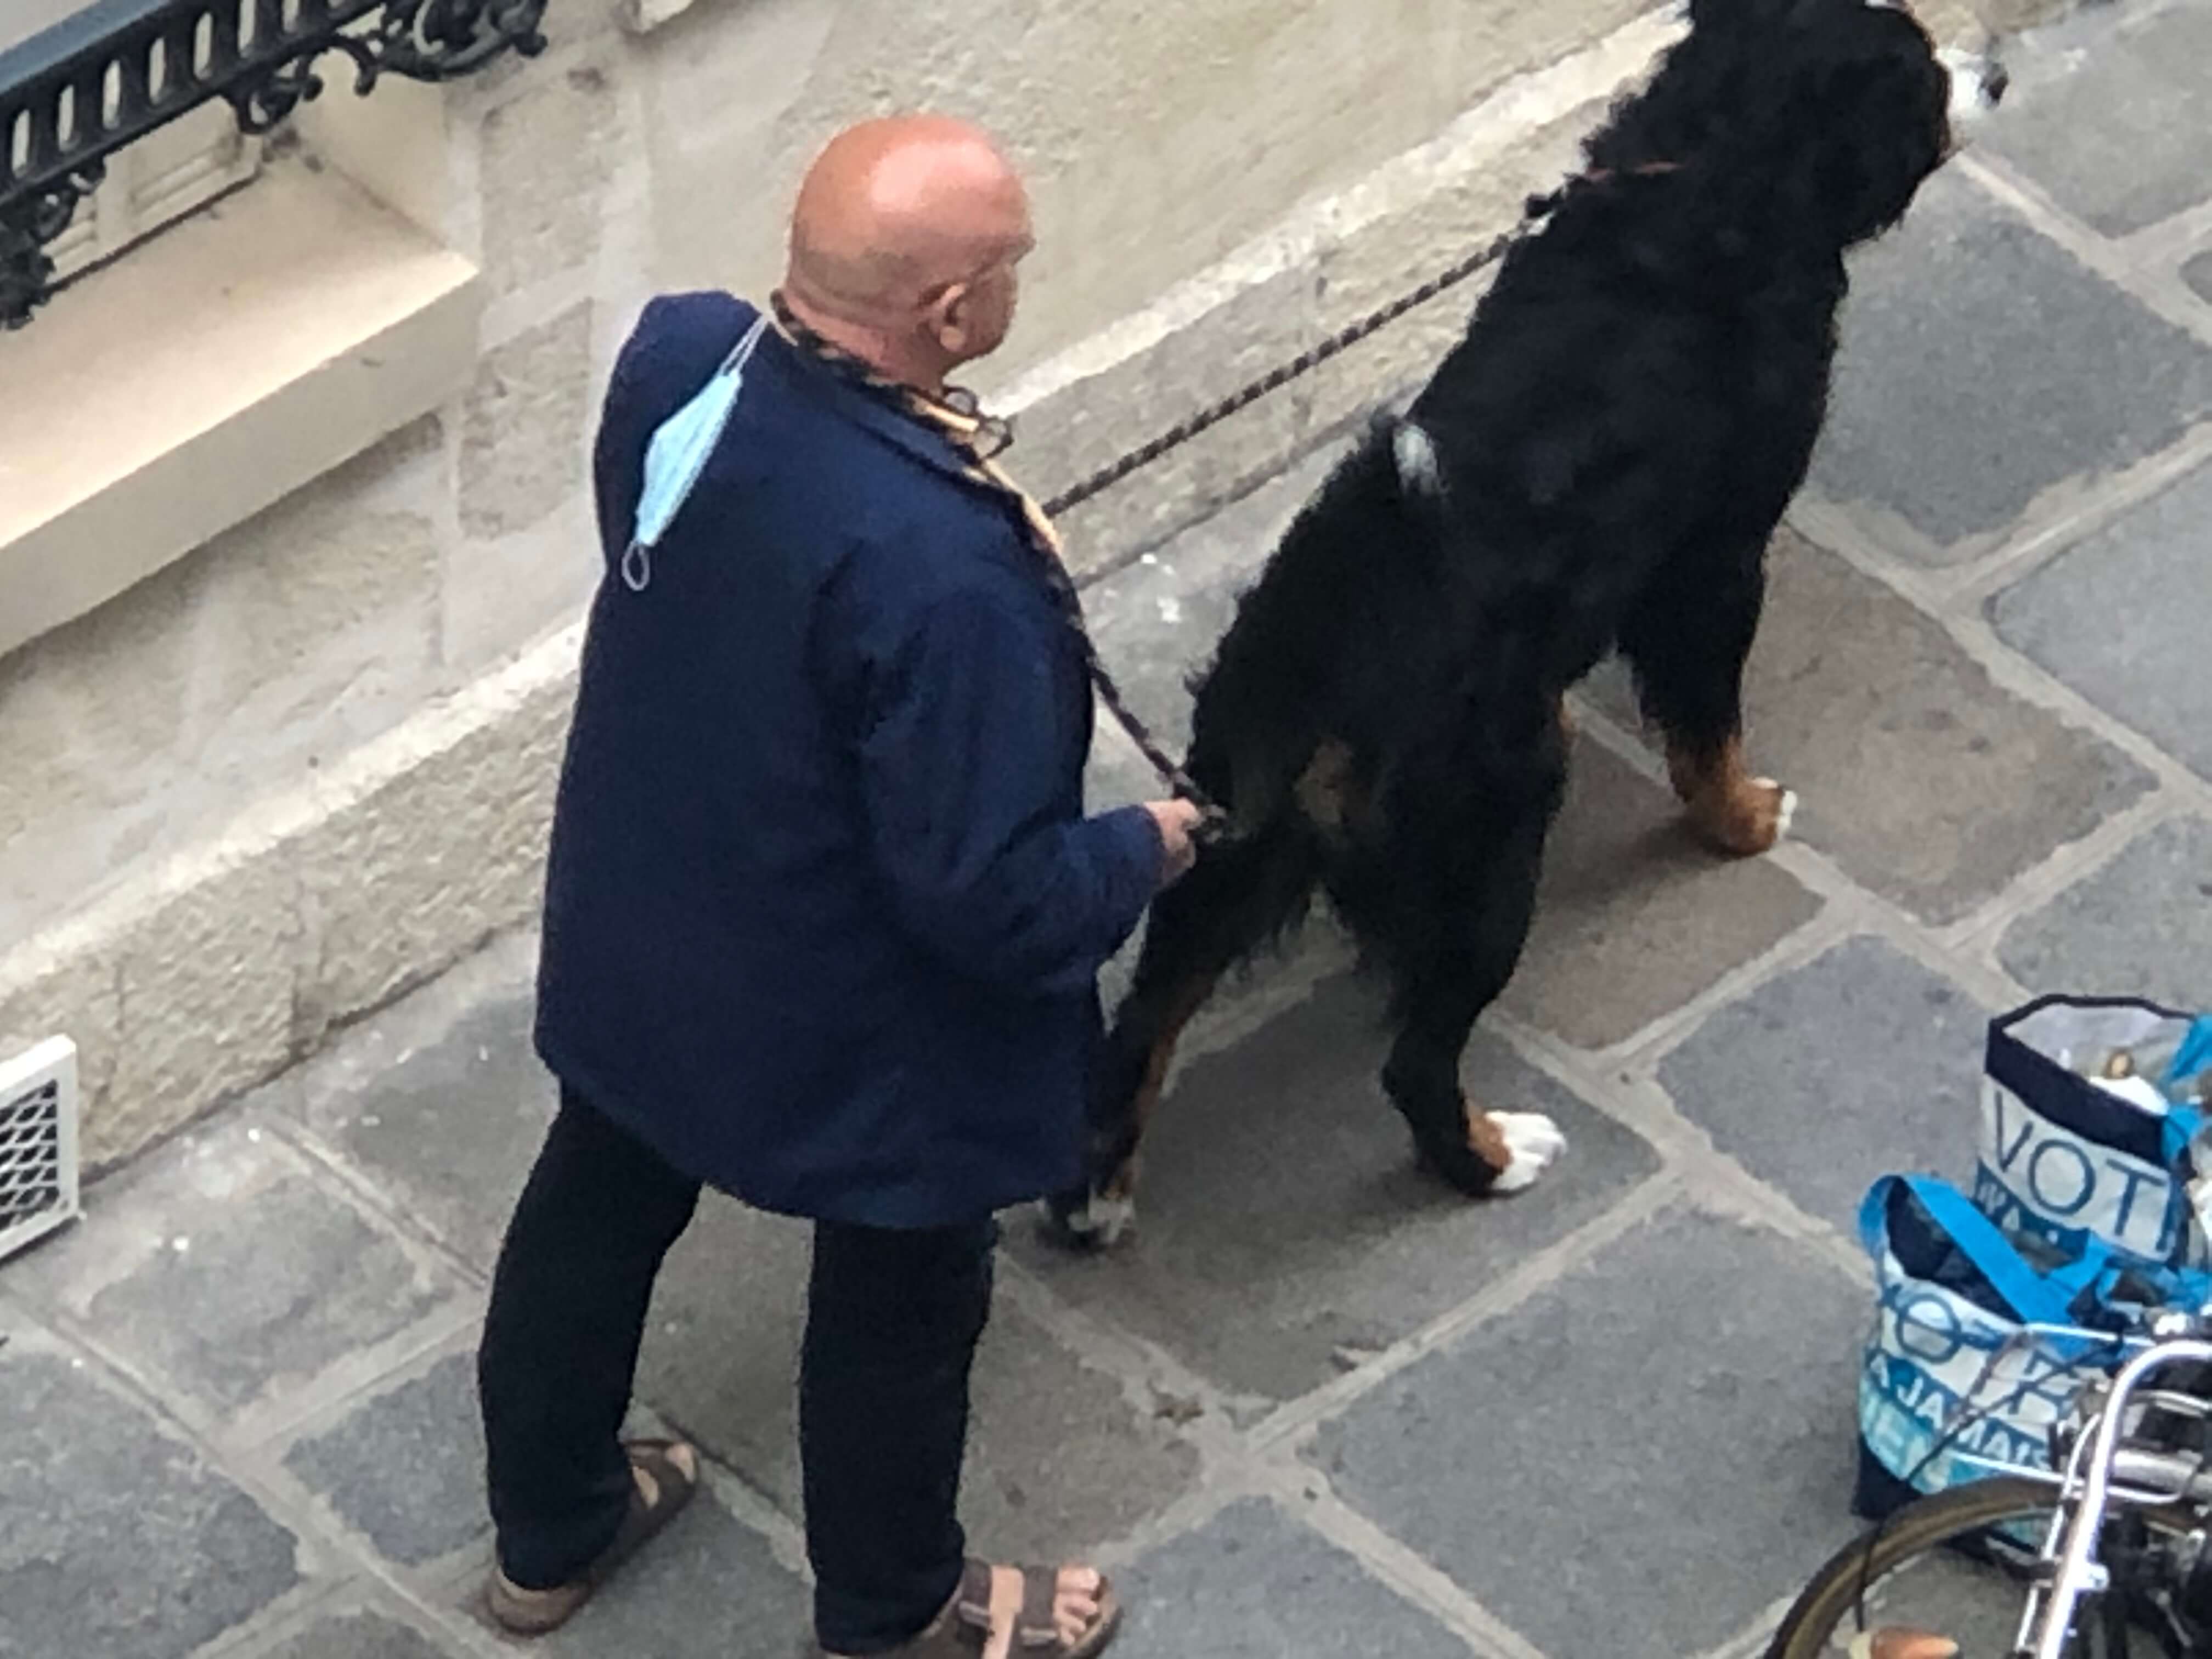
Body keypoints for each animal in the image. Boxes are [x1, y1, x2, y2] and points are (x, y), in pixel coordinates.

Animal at [1044, 0, 1999, 1248]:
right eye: (1919, 73)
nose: (1995, 71)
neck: (1710, 173)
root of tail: (1327, 664)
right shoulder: (1715, 555)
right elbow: (1708, 728)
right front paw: (1746, 820)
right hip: (1492, 842)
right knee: (1414, 1062)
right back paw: (1496, 1156)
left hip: (1224, 842)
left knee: (1141, 1021)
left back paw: (1096, 1199)